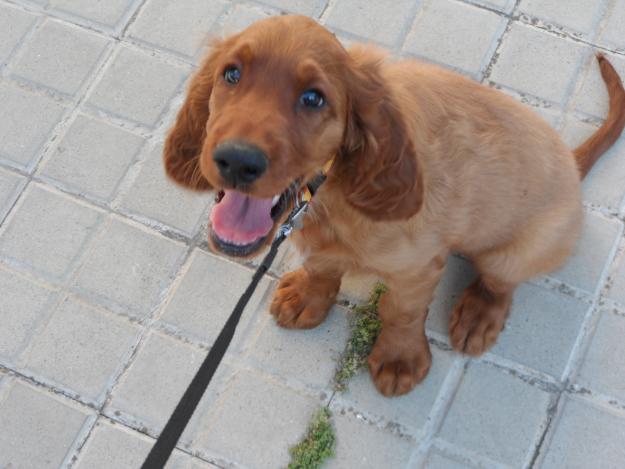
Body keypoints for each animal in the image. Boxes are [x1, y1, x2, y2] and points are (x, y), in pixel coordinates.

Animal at [163, 15, 624, 394]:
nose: (238, 161)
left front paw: (399, 359)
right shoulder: (324, 246)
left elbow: (401, 311)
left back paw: (478, 315)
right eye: (232, 74)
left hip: (516, 250)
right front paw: (309, 298)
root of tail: (572, 161)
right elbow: (322, 266)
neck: (331, 190)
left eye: (313, 98)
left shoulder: (418, 267)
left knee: (500, 283)